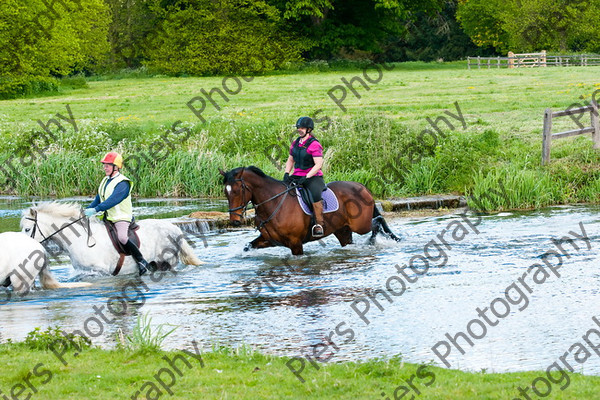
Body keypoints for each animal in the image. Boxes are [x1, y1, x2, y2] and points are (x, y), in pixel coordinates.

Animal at [219, 166, 398, 255]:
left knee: (377, 222)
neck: (274, 203)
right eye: (225, 192)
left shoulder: (295, 243)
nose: (235, 221)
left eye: (238, 190)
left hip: (360, 225)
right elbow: (248, 246)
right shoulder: (269, 240)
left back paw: (373, 241)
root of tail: (362, 187)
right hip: (342, 230)